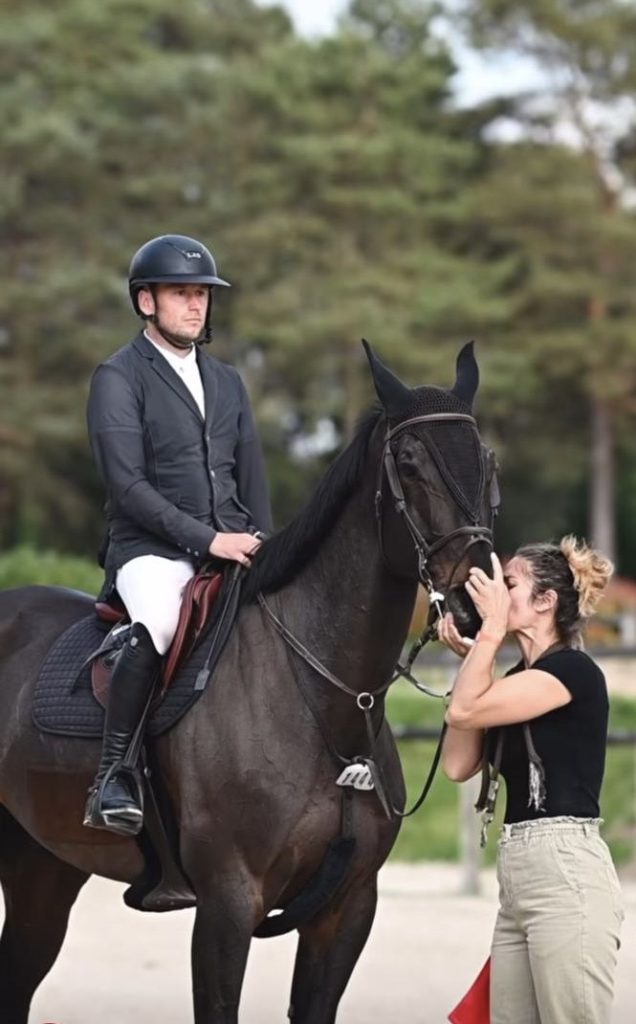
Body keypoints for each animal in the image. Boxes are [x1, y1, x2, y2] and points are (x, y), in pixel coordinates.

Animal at [0, 340, 496, 1023]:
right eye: (409, 462)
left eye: (486, 461)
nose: (478, 603)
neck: (321, 699)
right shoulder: (227, 905)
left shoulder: (347, 908)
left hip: (41, 869)